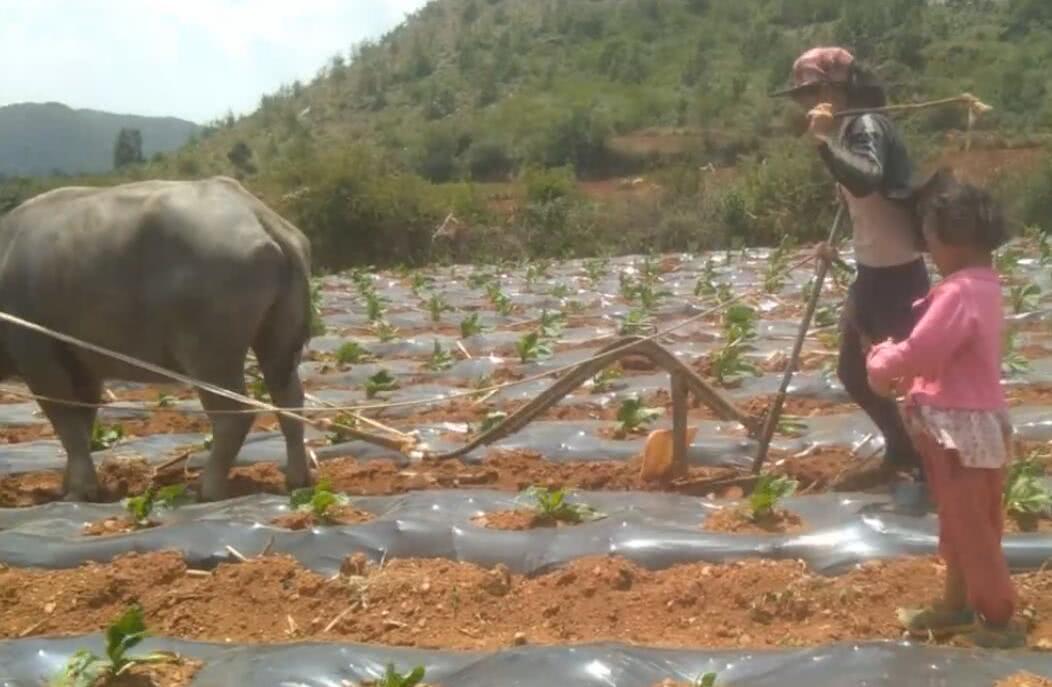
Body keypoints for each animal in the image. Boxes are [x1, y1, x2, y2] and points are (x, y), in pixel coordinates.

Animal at [0, 175, 311, 498]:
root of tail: (256, 213)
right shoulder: (82, 364)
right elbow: (84, 420)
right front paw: (69, 486)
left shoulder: (37, 355)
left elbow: (66, 419)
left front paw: (79, 491)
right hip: (277, 337)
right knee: (289, 398)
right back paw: (296, 478)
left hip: (210, 354)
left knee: (233, 415)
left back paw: (206, 489)